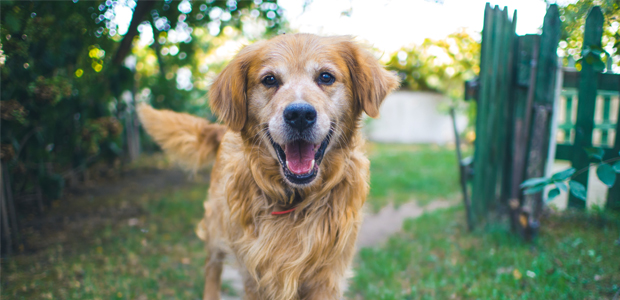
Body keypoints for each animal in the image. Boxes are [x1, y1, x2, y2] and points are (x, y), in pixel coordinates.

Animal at [137, 33, 398, 300]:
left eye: (326, 77)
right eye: (270, 79)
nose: (299, 114)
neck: (295, 200)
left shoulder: (328, 276)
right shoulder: (255, 274)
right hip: (216, 227)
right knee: (212, 267)